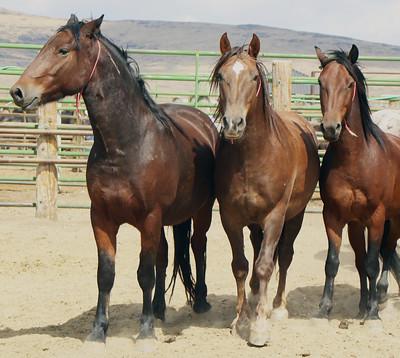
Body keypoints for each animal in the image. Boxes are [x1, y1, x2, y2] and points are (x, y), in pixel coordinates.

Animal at [9, 15, 217, 346]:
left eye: (63, 50)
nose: (18, 91)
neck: (126, 145)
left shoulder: (149, 218)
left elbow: (144, 273)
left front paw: (145, 332)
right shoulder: (102, 218)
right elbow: (106, 274)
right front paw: (98, 331)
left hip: (201, 211)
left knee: (198, 247)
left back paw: (199, 302)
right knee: (165, 256)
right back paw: (159, 309)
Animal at [212, 33, 318, 346]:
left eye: (254, 77)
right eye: (221, 76)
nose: (234, 124)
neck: (252, 156)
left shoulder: (274, 216)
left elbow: (265, 265)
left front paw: (259, 327)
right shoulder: (231, 217)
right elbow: (241, 265)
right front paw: (242, 318)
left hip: (294, 216)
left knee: (283, 256)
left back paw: (278, 306)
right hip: (253, 223)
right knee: (258, 252)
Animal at [316, 43, 400, 320]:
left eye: (349, 83)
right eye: (321, 82)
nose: (330, 128)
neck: (356, 160)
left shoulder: (376, 218)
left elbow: (374, 263)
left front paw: (373, 312)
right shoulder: (333, 216)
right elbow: (333, 263)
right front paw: (324, 307)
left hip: (393, 220)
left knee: (386, 253)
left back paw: (379, 295)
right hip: (355, 224)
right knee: (361, 260)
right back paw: (363, 302)